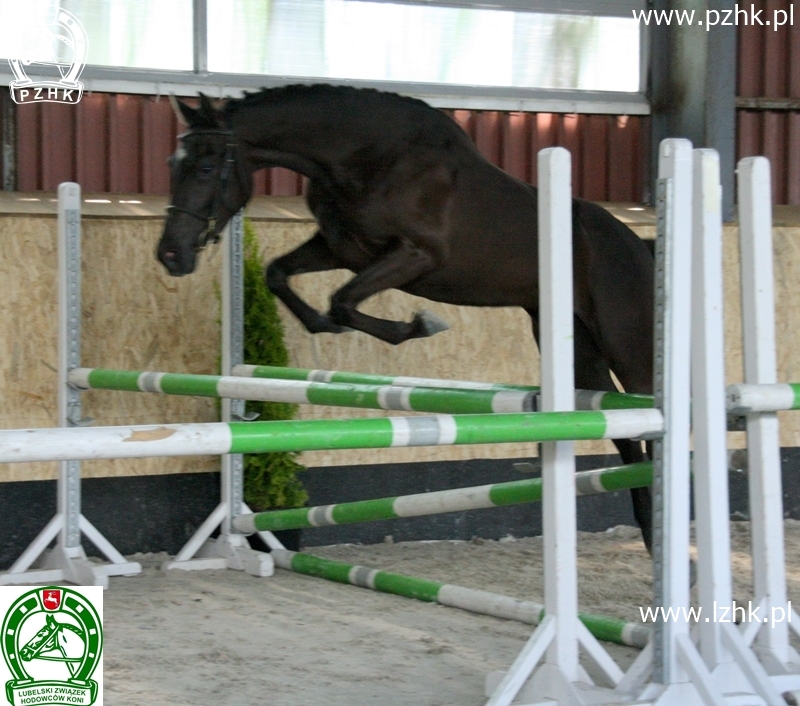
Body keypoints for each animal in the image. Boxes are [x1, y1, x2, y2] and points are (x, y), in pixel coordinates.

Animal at [158, 85, 656, 552]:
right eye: (172, 165)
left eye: (205, 169)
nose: (170, 255)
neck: (364, 159)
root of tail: (638, 246)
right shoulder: (343, 249)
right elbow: (280, 275)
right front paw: (330, 325)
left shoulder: (414, 255)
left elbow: (343, 300)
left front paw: (419, 325)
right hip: (579, 349)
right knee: (626, 436)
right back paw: (650, 527)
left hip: (626, 343)